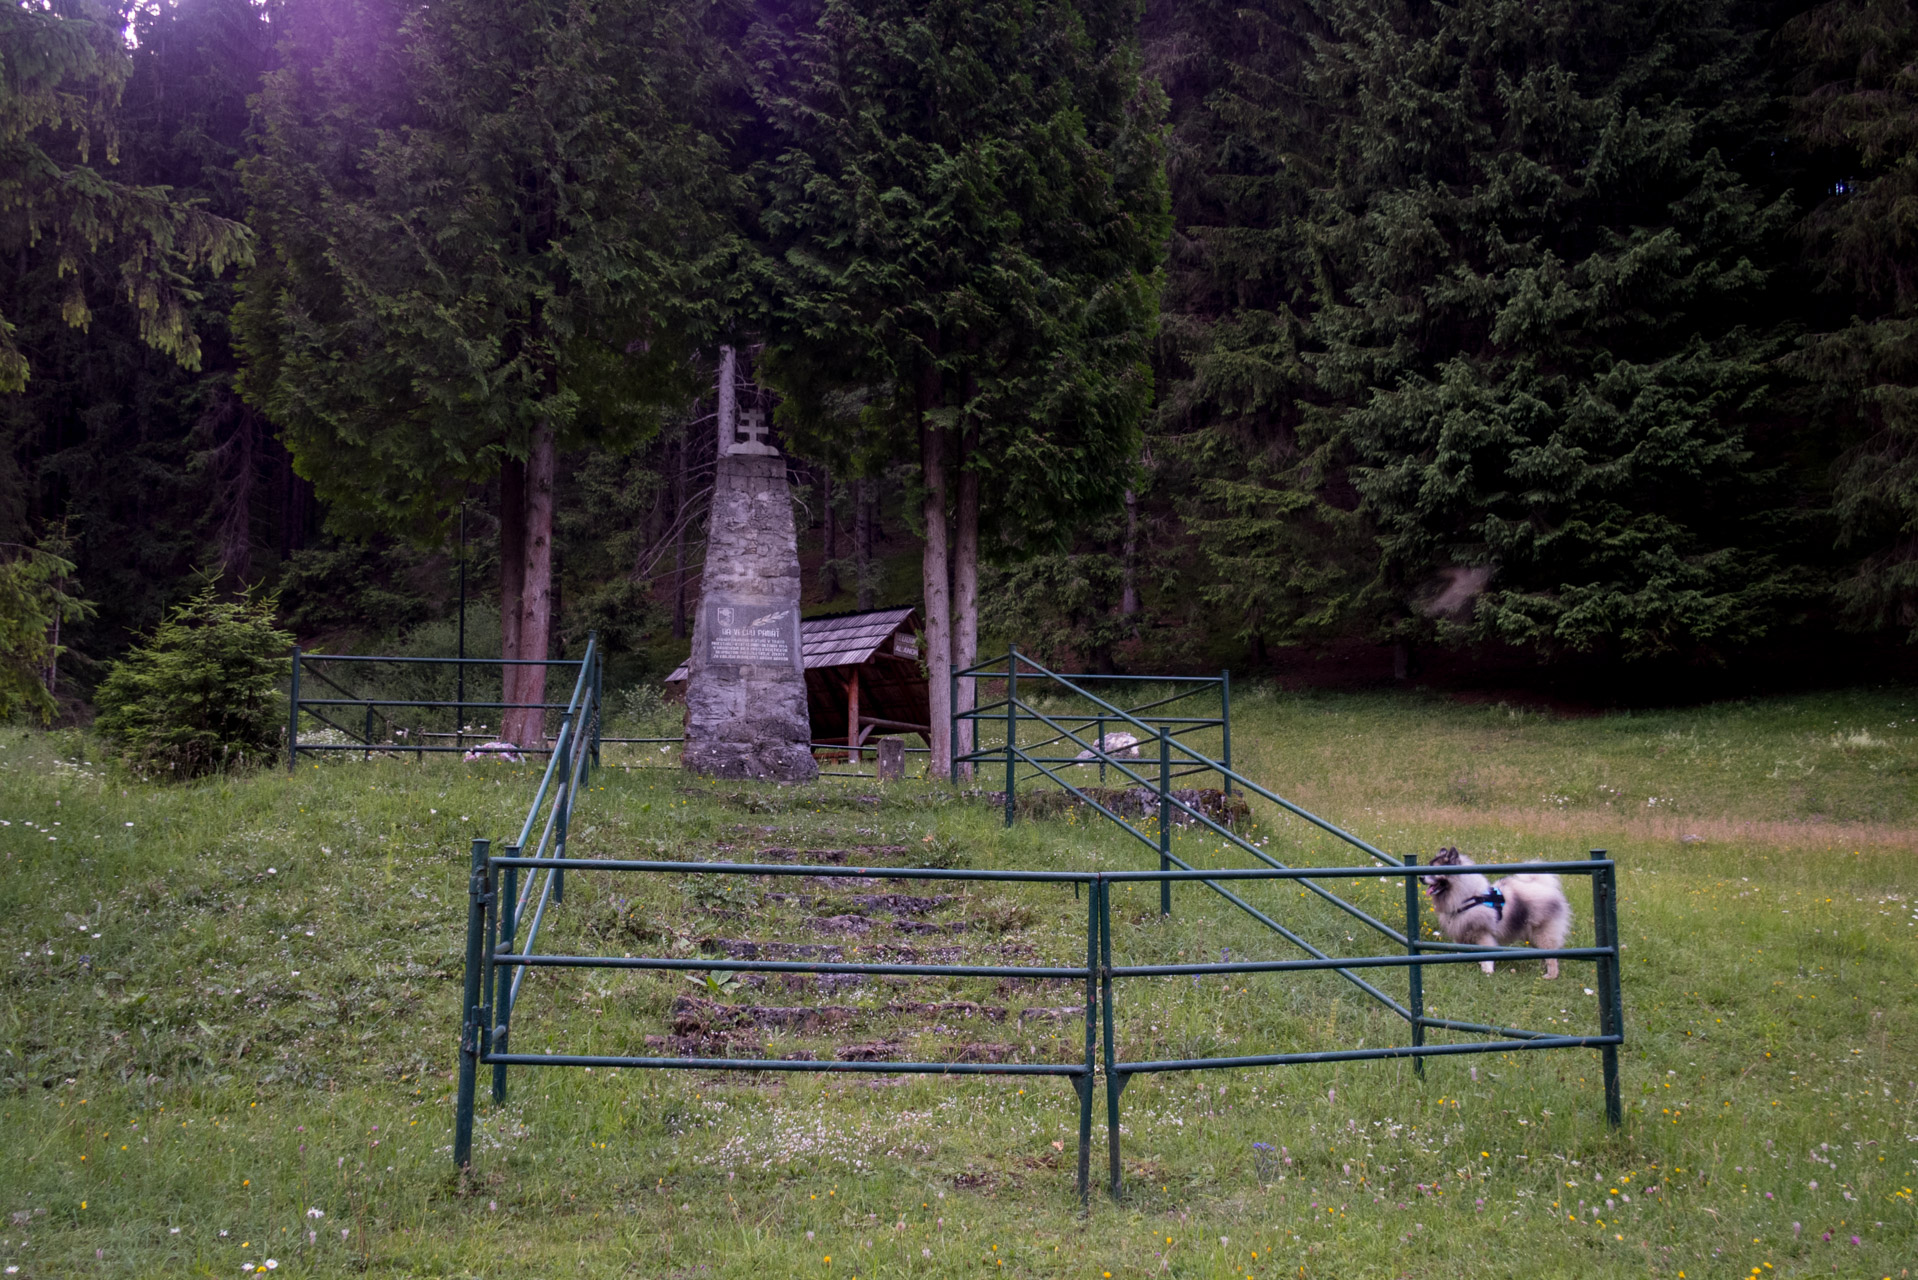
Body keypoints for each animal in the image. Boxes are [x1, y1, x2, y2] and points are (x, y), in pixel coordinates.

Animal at [1426, 852, 1572, 982]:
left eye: (1435, 870)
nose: (1421, 878)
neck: (1469, 898)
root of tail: (1545, 887)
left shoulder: (1483, 933)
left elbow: (1486, 954)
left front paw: (1487, 970)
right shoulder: (1460, 931)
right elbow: (1459, 949)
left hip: (1543, 933)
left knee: (1551, 956)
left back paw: (1551, 975)